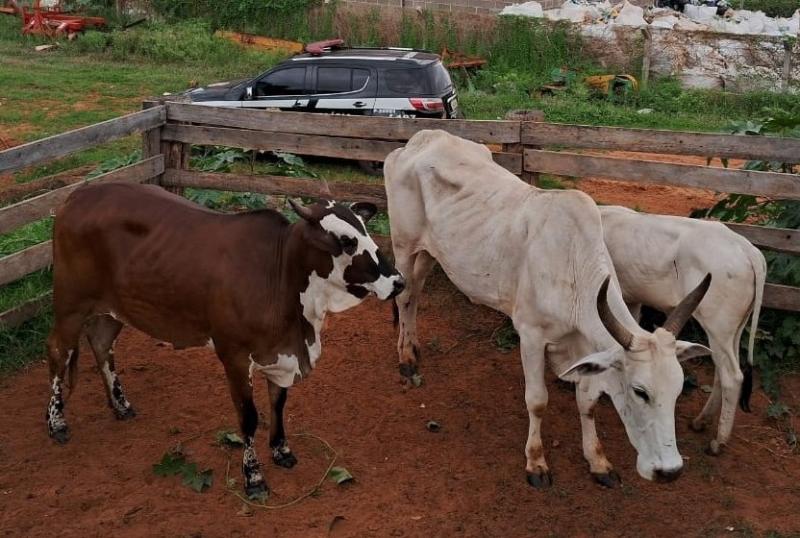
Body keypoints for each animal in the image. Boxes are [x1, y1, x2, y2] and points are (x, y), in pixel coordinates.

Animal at [47, 182, 404, 496]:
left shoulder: (279, 354)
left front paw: (281, 450)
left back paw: (120, 405)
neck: (281, 277)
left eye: (365, 228)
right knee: (57, 352)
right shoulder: (234, 356)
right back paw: (56, 423)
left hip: (112, 309)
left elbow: (278, 403)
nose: (398, 281)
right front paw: (254, 478)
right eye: (345, 240)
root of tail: (75, 197)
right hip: (70, 304)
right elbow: (248, 418)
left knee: (101, 344)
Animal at [386, 131, 712, 486]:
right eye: (640, 392)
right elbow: (537, 401)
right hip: (404, 244)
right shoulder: (530, 336)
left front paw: (597, 461)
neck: (572, 265)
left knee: (416, 293)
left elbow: (587, 402)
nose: (670, 471)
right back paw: (406, 359)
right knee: (404, 295)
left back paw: (414, 344)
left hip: (432, 252)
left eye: (678, 389)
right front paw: (536, 462)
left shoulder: (585, 350)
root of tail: (424, 138)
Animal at [604, 204, 764, 452]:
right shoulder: (631, 299)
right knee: (722, 370)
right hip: (733, 329)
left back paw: (718, 441)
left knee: (732, 376)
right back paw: (701, 421)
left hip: (717, 326)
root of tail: (747, 248)